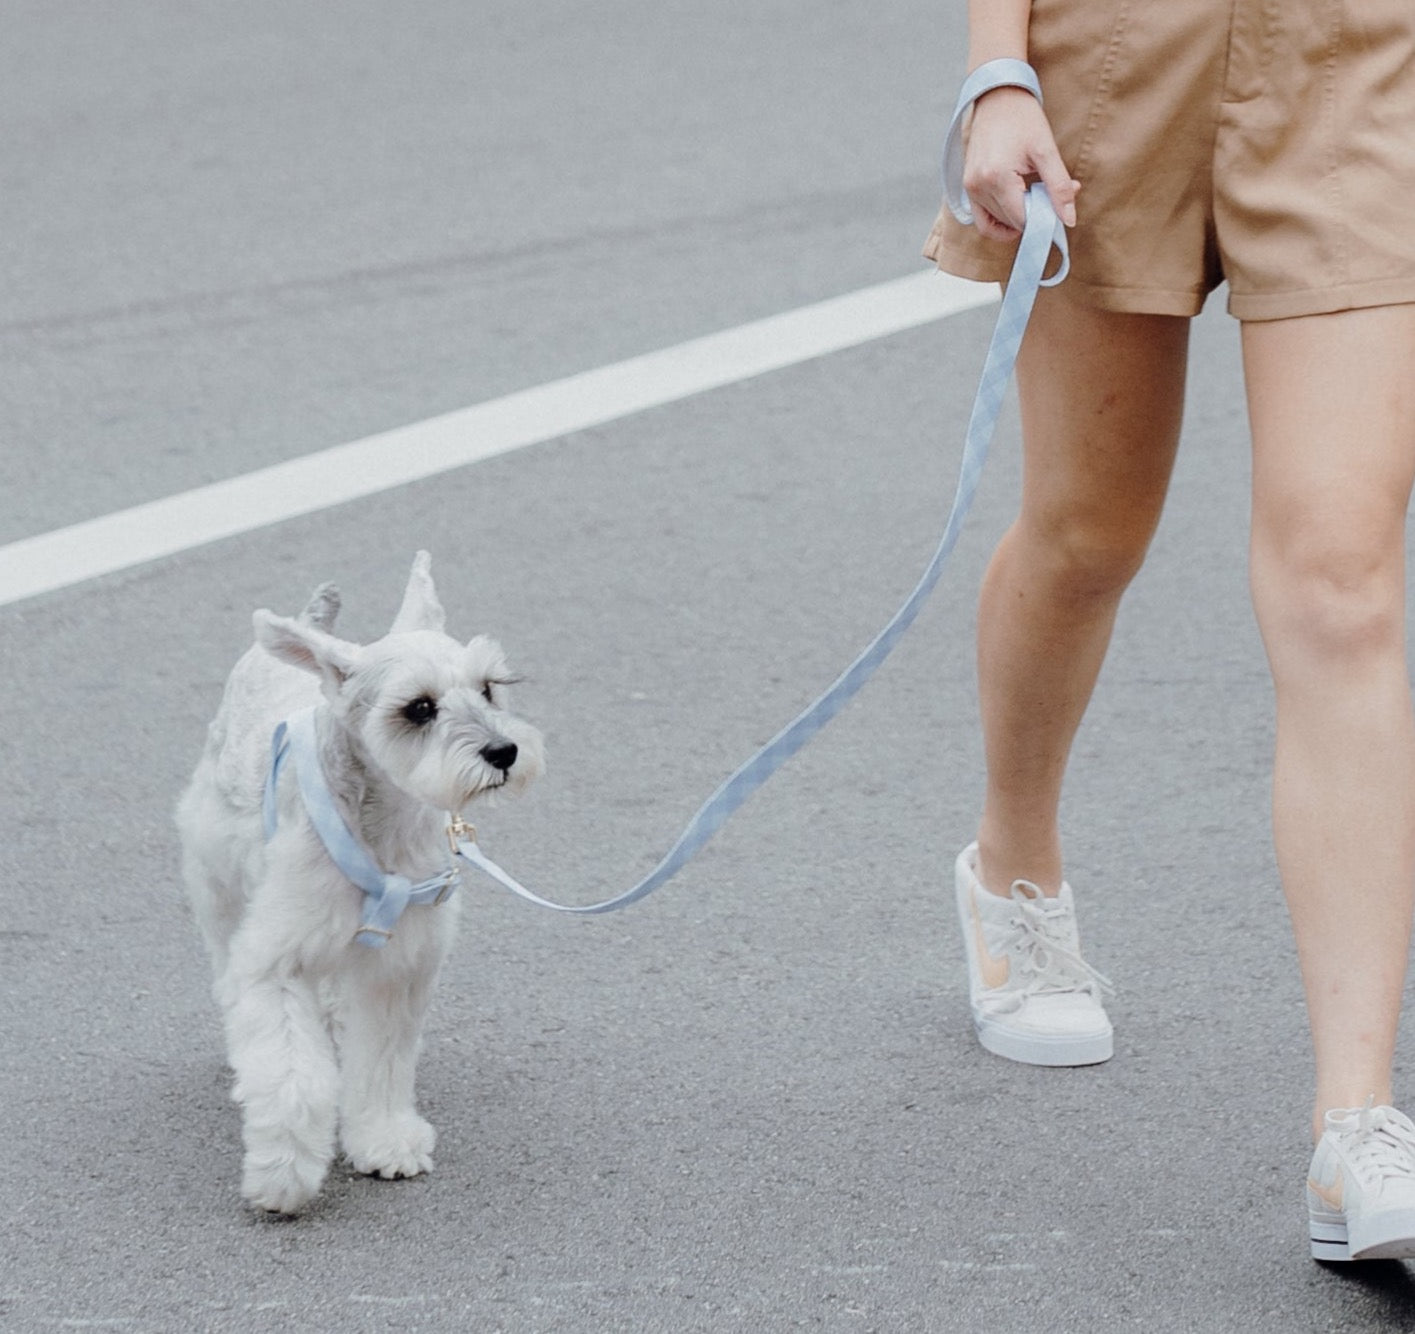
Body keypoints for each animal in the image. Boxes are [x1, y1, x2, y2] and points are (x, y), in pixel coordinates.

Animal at [179, 548, 543, 1216]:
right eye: (419, 707)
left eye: (487, 688)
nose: (504, 751)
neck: (384, 824)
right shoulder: (275, 963)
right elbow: (292, 1079)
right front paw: (283, 1175)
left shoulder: (398, 969)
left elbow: (381, 1065)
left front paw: (383, 1140)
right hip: (218, 884)